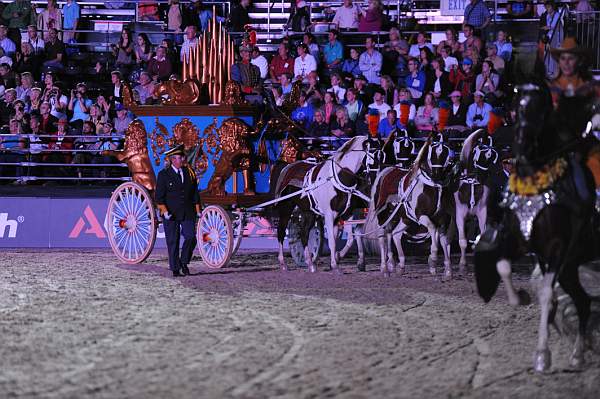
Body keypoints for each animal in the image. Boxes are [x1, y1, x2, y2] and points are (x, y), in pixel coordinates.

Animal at [476, 83, 596, 374]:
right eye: (516, 106)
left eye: (541, 109)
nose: (521, 144)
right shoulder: (521, 242)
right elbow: (503, 267)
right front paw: (520, 297)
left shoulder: (557, 249)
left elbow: (546, 293)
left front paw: (542, 355)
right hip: (570, 268)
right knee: (583, 302)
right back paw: (578, 353)